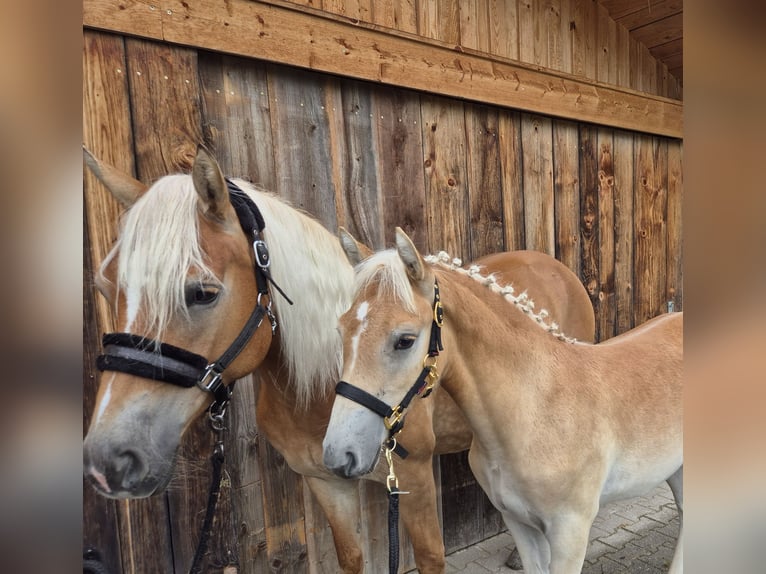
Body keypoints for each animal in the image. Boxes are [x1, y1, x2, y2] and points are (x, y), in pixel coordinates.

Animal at [84, 146, 596, 572]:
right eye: (105, 286)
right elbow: (351, 557)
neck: (321, 388)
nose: (110, 459)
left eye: (203, 292)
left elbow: (431, 557)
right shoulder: (325, 482)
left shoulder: (411, 477)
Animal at [324, 228, 684, 574]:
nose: (339, 454)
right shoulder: (519, 523)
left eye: (405, 340)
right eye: (340, 331)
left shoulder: (570, 533)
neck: (536, 409)